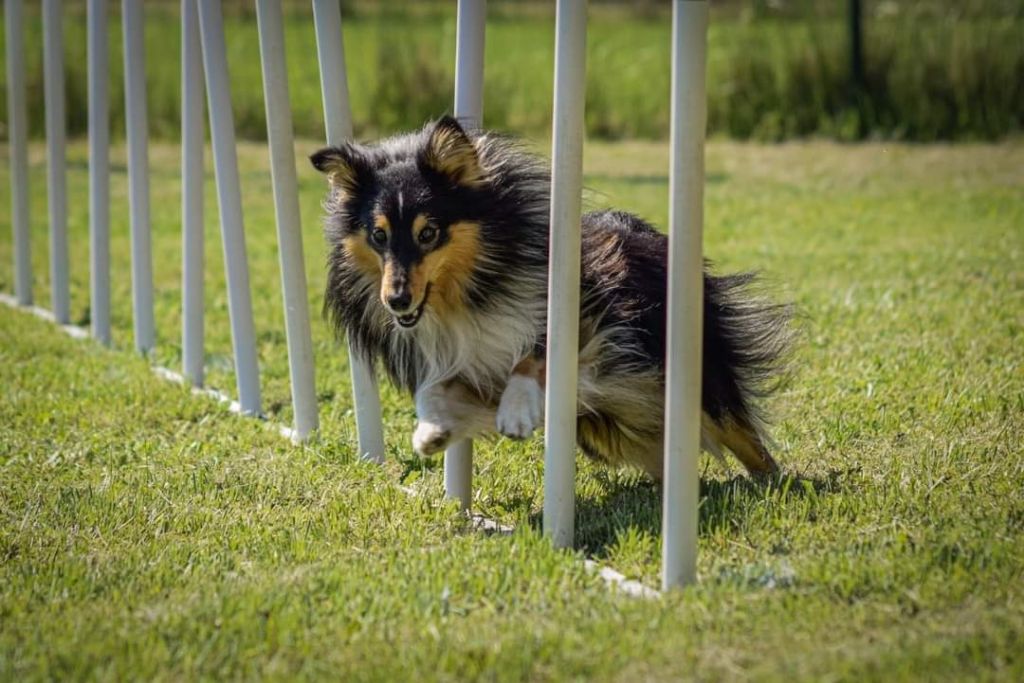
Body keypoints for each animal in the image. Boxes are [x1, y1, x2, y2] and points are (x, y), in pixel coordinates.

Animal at [307, 116, 786, 481]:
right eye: (379, 235)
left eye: (429, 233)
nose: (397, 302)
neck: (467, 294)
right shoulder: (461, 358)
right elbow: (432, 389)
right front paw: (431, 432)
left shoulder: (589, 321)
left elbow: (533, 355)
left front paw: (516, 412)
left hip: (687, 370)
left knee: (742, 434)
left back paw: (774, 483)